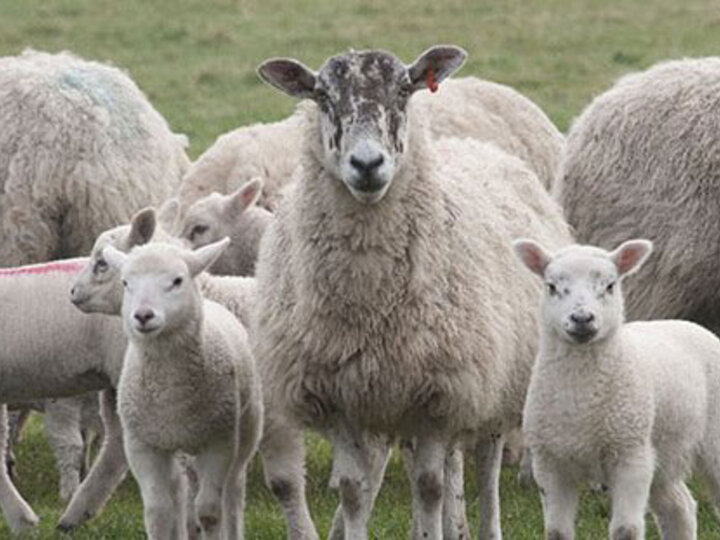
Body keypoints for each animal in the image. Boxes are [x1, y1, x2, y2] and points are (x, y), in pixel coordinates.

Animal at [102, 240, 262, 540]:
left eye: (177, 281)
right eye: (126, 282)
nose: (143, 315)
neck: (170, 395)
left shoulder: (220, 440)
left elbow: (209, 511)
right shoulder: (142, 444)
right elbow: (157, 512)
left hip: (247, 425)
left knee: (233, 490)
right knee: (180, 491)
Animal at [253, 44, 572, 536]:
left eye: (404, 90)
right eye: (322, 95)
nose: (367, 165)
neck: (370, 298)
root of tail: (476, 147)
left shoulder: (438, 394)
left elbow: (428, 486)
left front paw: (432, 525)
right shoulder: (339, 396)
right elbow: (354, 490)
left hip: (493, 381)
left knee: (486, 465)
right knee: (447, 465)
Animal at [516, 239, 720, 540]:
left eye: (610, 286)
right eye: (551, 286)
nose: (582, 318)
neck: (581, 399)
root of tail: (689, 325)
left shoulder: (630, 456)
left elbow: (626, 530)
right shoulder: (551, 465)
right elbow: (556, 532)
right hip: (662, 452)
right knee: (679, 507)